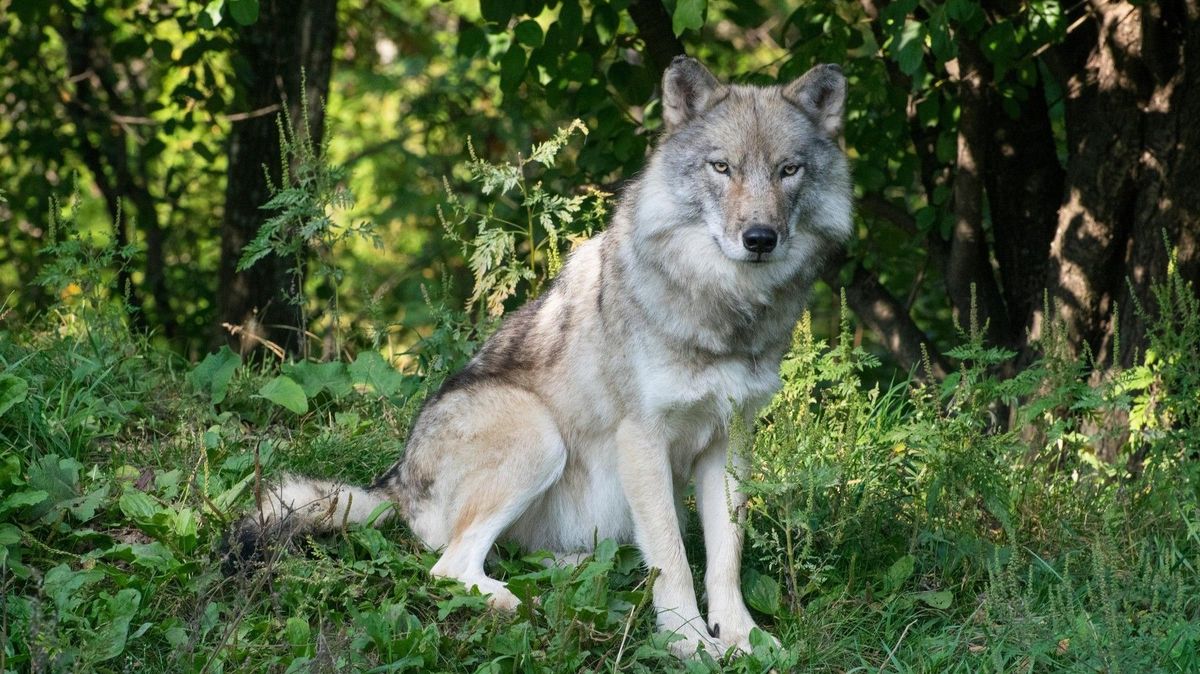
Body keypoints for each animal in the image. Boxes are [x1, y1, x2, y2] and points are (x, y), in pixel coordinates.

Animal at [226, 57, 854, 657]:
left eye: (788, 170)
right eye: (721, 168)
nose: (760, 238)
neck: (725, 310)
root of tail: (395, 484)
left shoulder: (731, 440)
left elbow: (726, 557)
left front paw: (742, 637)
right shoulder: (642, 438)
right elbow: (673, 560)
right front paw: (689, 642)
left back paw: (580, 577)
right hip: (539, 435)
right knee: (448, 566)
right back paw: (519, 604)